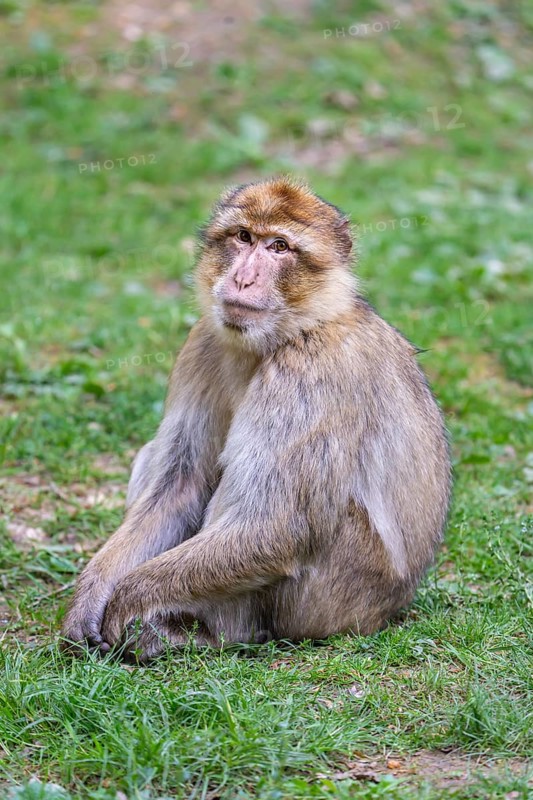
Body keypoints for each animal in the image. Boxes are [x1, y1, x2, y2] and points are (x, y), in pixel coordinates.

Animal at [61, 176, 451, 662]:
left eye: (279, 246)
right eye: (244, 237)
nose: (243, 278)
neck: (291, 331)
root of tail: (388, 611)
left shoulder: (308, 370)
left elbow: (273, 525)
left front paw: (128, 600)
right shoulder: (202, 343)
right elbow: (180, 486)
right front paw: (91, 596)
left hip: (334, 598)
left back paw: (188, 634)